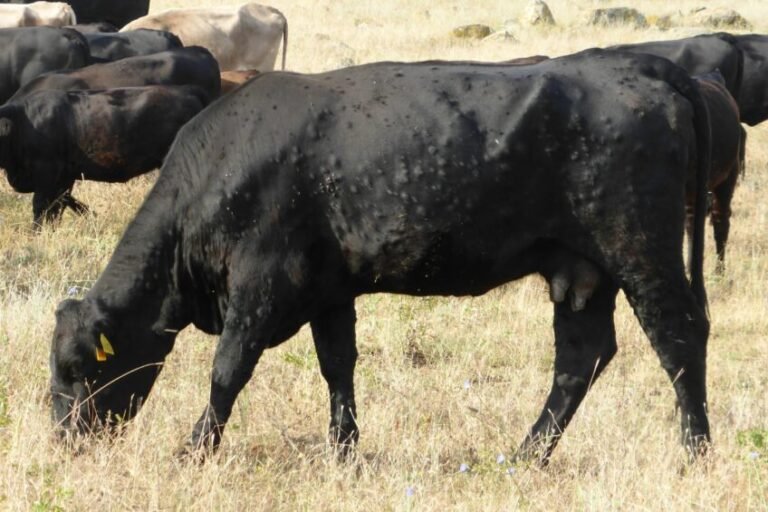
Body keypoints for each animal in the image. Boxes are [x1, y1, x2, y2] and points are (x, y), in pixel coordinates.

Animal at [48, 49, 712, 466]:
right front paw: (344, 452)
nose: (64, 443)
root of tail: (638, 64)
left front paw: (193, 451)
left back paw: (695, 452)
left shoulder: (261, 286)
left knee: (679, 338)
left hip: (641, 251)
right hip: (581, 272)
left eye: (78, 368)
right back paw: (526, 456)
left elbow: (227, 371)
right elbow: (337, 366)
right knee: (580, 359)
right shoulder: (327, 289)